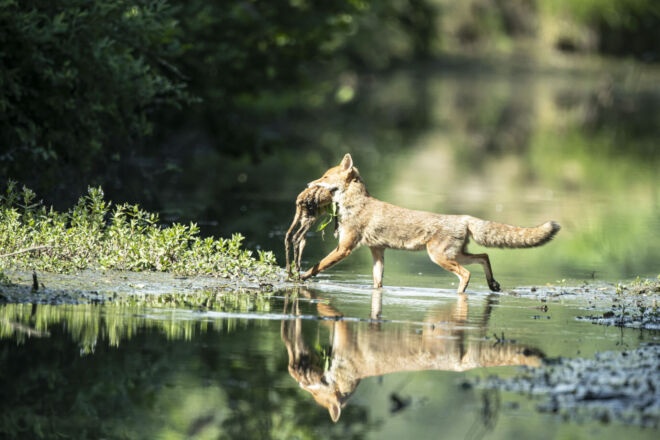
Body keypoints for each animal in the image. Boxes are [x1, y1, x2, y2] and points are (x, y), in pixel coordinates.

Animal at [301, 153, 560, 293]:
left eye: (325, 177)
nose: (308, 184)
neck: (356, 203)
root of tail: (464, 217)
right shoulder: (377, 251)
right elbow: (377, 282)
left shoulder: (344, 248)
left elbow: (317, 266)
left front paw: (297, 277)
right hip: (456, 255)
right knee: (484, 256)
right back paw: (492, 284)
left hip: (440, 257)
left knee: (466, 274)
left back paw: (460, 294)